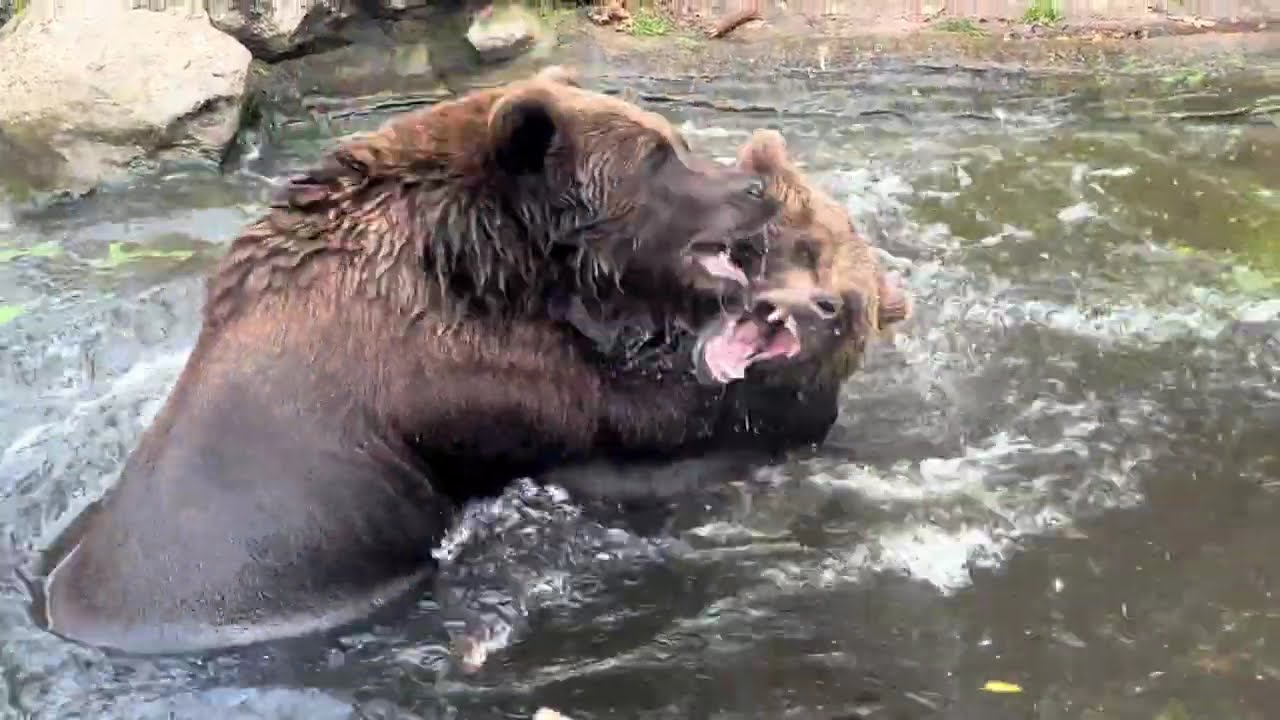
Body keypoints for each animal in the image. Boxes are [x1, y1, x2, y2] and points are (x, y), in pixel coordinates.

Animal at [36, 66, 781, 656]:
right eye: (658, 156)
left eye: (676, 141)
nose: (757, 186)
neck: (480, 263)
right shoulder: (458, 376)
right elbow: (620, 421)